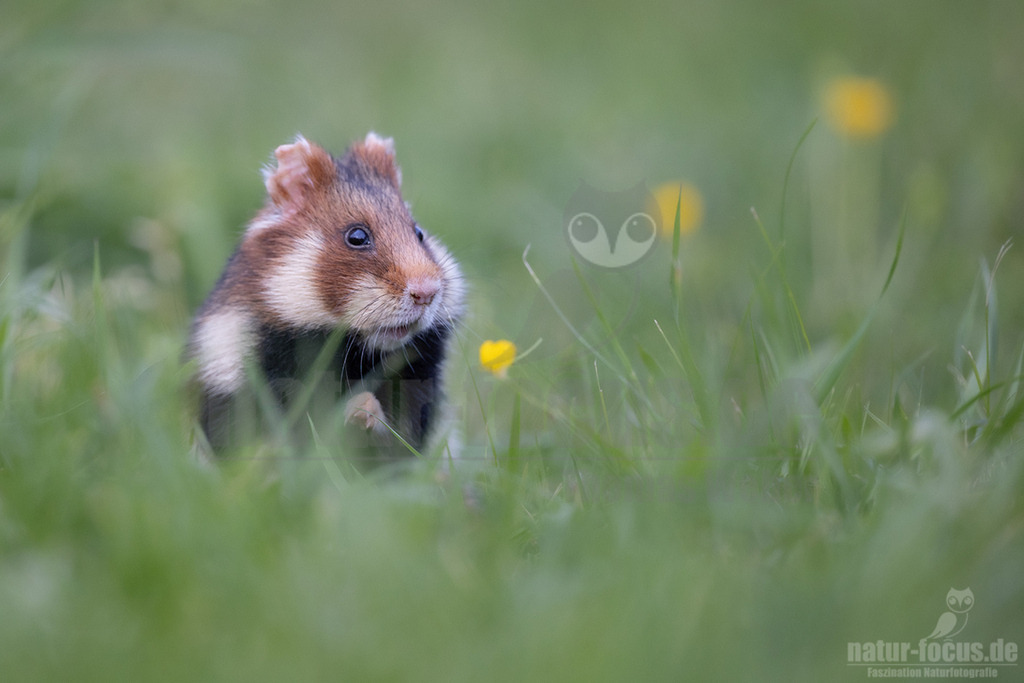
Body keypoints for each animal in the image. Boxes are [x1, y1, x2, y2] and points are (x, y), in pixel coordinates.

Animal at [187, 133, 464, 461]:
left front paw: (362, 408)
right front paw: (356, 408)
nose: (427, 293)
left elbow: (400, 437)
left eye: (419, 233)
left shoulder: (419, 381)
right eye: (357, 236)